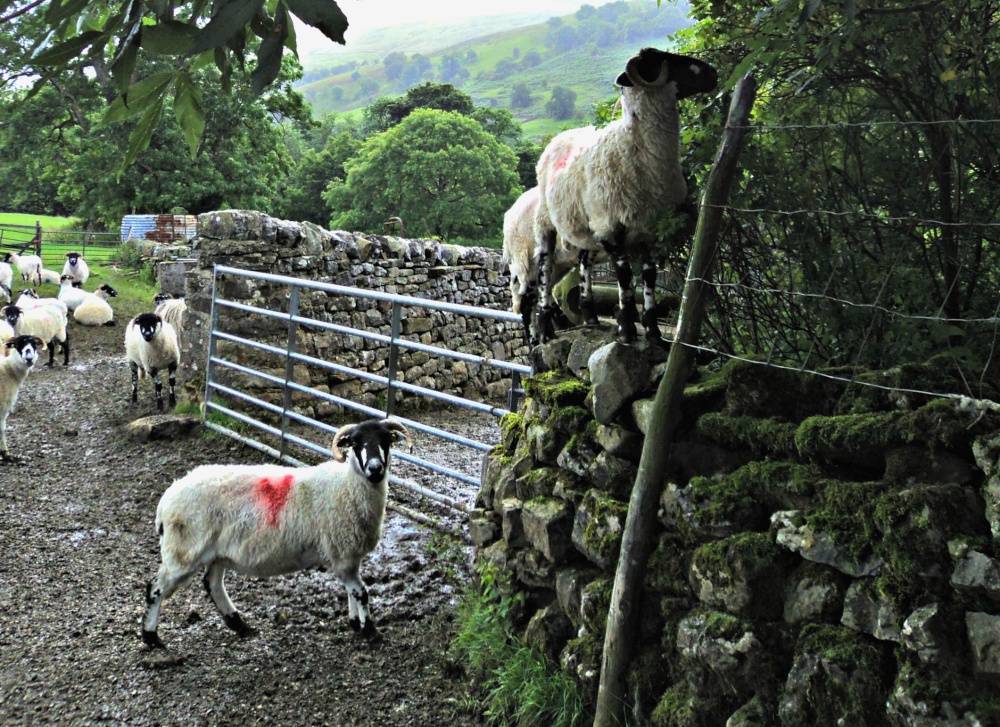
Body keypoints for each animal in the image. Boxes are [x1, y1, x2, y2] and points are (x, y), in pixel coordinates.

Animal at [139, 418, 412, 652]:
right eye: (355, 443)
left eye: (386, 439)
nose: (375, 469)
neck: (346, 485)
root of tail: (167, 499)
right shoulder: (341, 552)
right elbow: (360, 591)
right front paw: (371, 632)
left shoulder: (348, 554)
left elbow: (351, 591)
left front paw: (356, 623)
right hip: (183, 549)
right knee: (156, 588)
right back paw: (151, 637)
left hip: (216, 552)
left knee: (213, 584)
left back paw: (240, 625)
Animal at [536, 47, 716, 344]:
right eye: (665, 62)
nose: (712, 73)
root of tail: (559, 138)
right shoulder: (611, 227)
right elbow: (623, 274)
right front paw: (627, 329)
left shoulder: (650, 229)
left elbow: (648, 276)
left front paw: (653, 332)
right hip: (546, 224)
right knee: (544, 269)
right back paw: (544, 328)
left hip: (585, 224)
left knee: (584, 262)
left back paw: (590, 316)